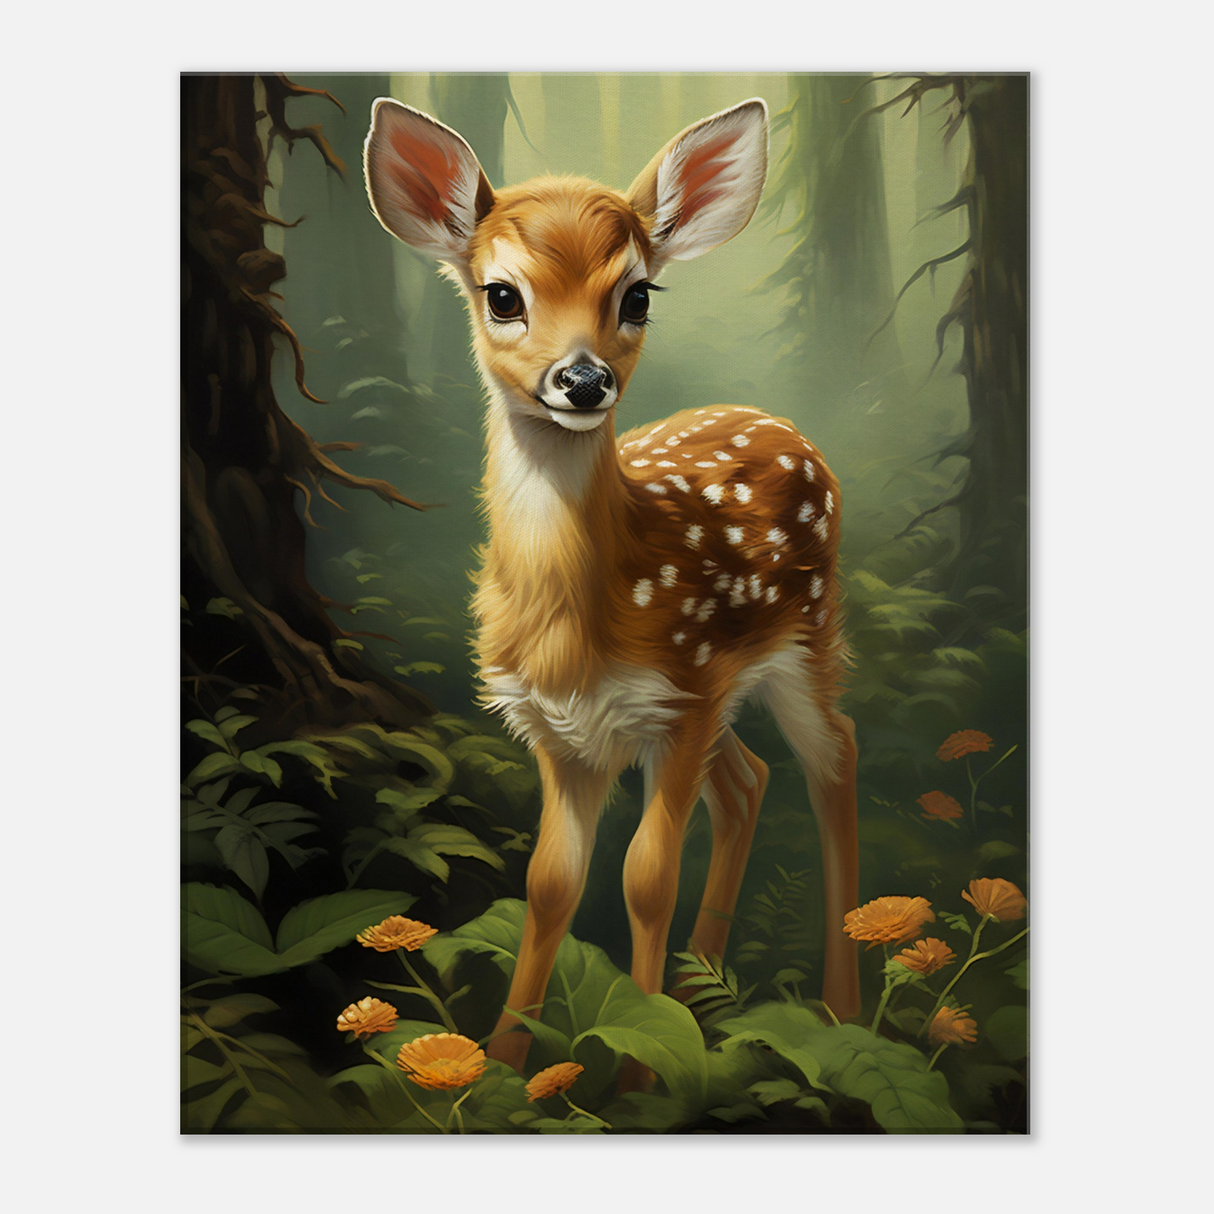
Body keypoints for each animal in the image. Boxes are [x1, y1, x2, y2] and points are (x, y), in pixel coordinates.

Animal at [363, 95, 860, 1080]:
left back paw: (840, 1012)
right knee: (749, 783)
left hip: (804, 636)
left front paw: (643, 1075)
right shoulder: (558, 729)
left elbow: (644, 879)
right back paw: (706, 989)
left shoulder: (683, 694)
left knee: (833, 761)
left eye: (636, 295)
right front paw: (508, 1068)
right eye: (502, 294)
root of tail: (781, 422)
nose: (582, 379)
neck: (579, 620)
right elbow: (552, 883)